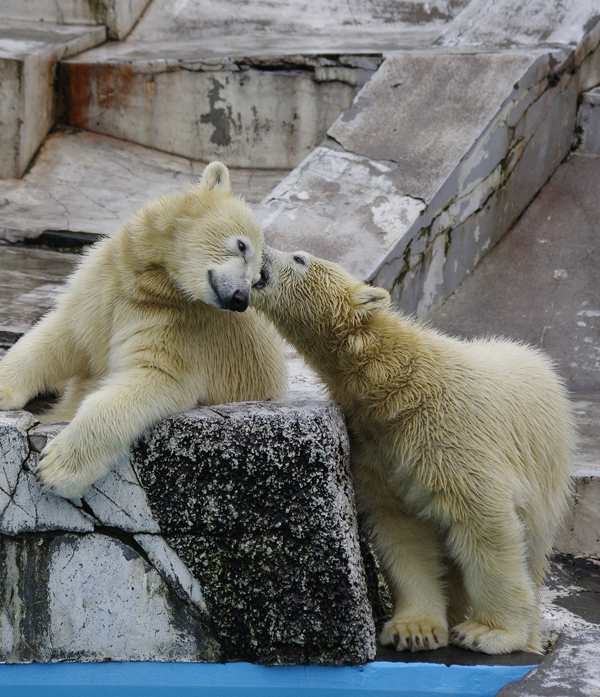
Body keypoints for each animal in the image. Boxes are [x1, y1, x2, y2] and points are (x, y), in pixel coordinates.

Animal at [0, 162, 288, 500]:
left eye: (256, 279)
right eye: (242, 246)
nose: (240, 298)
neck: (153, 283)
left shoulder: (181, 328)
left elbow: (155, 378)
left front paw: (56, 469)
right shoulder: (105, 287)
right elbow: (63, 338)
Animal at [251, 245, 576, 652]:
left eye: (299, 258)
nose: (259, 248)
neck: (396, 381)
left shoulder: (450, 431)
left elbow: (484, 521)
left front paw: (490, 632)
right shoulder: (376, 445)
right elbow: (400, 528)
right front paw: (415, 629)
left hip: (546, 468)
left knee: (531, 547)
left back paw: (527, 636)